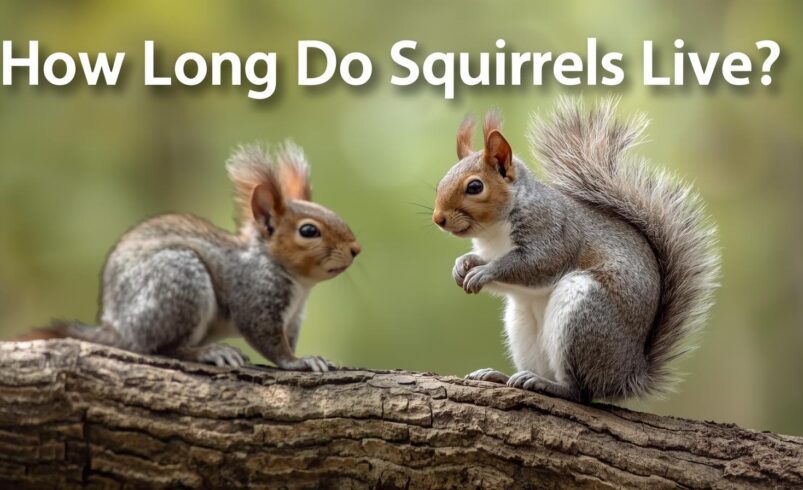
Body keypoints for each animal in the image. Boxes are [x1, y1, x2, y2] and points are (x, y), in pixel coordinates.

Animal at [15, 142, 361, 371]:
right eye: (309, 231)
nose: (356, 249)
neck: (299, 284)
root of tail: (117, 327)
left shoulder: (295, 316)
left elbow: (288, 336)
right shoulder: (254, 297)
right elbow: (268, 339)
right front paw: (298, 362)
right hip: (180, 282)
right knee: (159, 347)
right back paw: (207, 353)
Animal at [432, 97, 720, 402]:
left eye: (475, 186)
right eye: (440, 183)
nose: (438, 218)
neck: (494, 231)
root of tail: (628, 373)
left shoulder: (553, 236)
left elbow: (533, 265)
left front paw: (484, 273)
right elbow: (485, 261)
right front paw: (463, 264)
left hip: (583, 317)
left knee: (580, 391)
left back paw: (548, 384)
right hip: (522, 325)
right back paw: (502, 376)